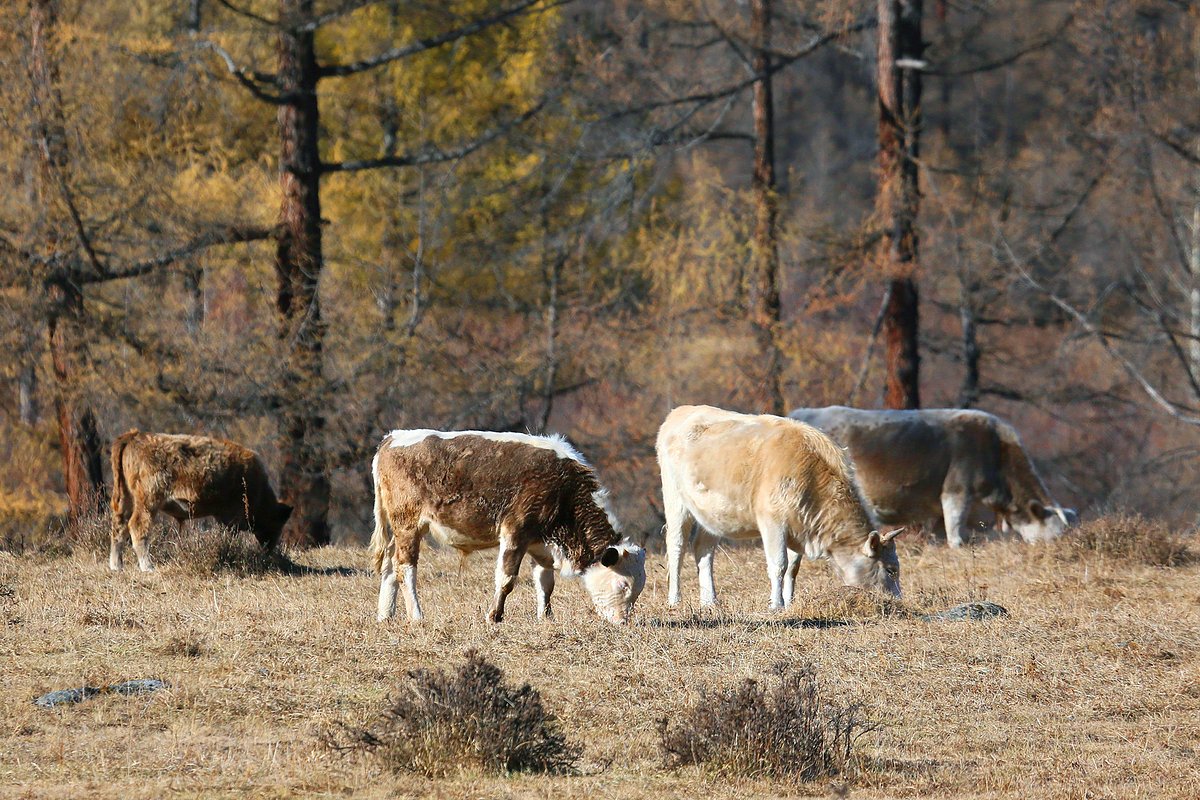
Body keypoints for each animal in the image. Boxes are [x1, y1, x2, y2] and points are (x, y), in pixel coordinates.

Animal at [109, 434, 292, 573]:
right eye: (277, 524)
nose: (269, 549)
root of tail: (133, 436)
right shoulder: (233, 518)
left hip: (125, 498)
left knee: (119, 526)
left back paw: (116, 566)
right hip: (148, 502)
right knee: (137, 525)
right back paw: (148, 567)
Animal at [369, 431, 648, 623]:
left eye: (638, 590)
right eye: (623, 585)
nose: (623, 622)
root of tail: (393, 437)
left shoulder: (540, 544)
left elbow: (545, 583)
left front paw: (546, 617)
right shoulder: (516, 533)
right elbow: (506, 579)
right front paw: (494, 615)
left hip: (401, 531)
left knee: (390, 565)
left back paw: (385, 614)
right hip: (408, 526)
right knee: (405, 568)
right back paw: (416, 615)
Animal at [657, 407, 902, 606]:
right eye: (891, 570)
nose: (898, 600)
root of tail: (680, 411)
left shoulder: (799, 527)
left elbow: (792, 568)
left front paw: (789, 602)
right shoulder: (772, 522)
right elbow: (779, 564)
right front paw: (777, 604)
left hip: (713, 513)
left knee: (703, 549)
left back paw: (710, 601)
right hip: (675, 500)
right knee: (677, 546)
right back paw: (675, 600)